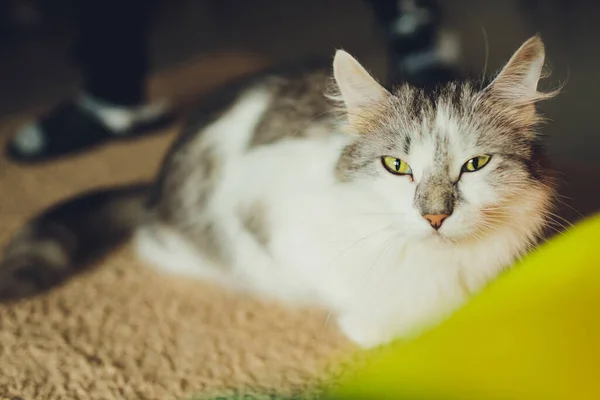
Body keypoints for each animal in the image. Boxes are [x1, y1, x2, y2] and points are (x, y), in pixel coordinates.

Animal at [2, 35, 560, 346]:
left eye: (476, 164)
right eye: (396, 166)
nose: (435, 217)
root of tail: (153, 182)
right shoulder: (271, 224)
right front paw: (373, 328)